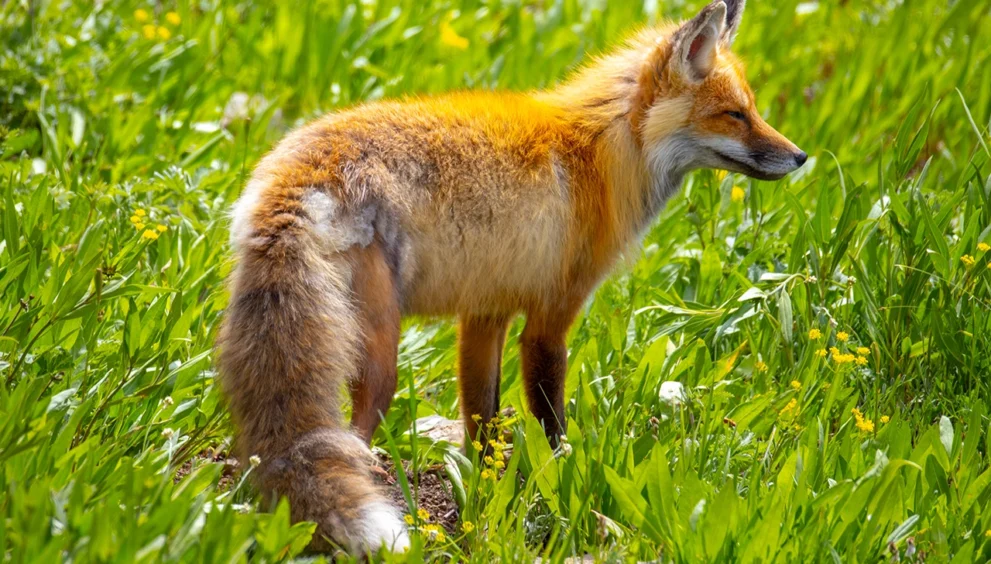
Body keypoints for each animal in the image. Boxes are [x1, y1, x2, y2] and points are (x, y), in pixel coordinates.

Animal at [217, 0, 806, 555]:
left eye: (752, 110)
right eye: (733, 115)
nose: (800, 157)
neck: (601, 153)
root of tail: (298, 175)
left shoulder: (485, 310)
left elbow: (483, 422)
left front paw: (483, 499)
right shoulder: (551, 316)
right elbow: (550, 422)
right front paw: (562, 483)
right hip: (380, 354)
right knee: (353, 436)